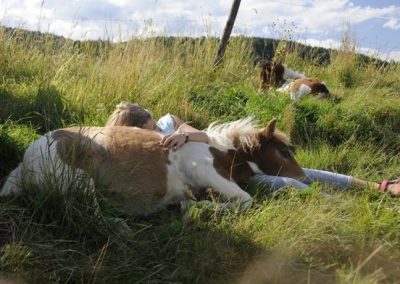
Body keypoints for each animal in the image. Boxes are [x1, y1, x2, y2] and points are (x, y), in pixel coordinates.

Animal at [1, 117, 304, 215]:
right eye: (283, 151)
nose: (303, 176)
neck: (220, 153)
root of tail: (23, 164)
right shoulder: (208, 172)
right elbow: (246, 200)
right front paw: (189, 206)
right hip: (82, 183)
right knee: (94, 214)